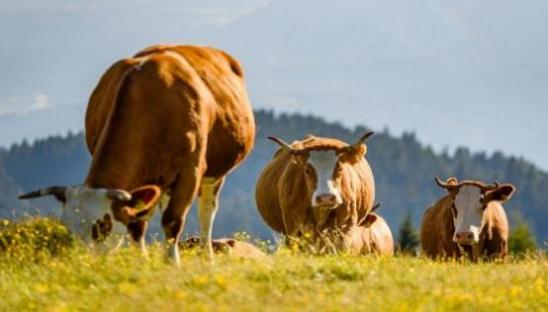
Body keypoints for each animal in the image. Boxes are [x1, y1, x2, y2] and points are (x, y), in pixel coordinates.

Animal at [17, 43, 255, 264]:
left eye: (102, 226)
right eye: (68, 228)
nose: (84, 262)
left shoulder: (191, 171)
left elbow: (172, 220)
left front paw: (172, 263)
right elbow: (136, 223)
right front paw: (143, 262)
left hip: (216, 173)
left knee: (207, 212)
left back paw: (207, 256)